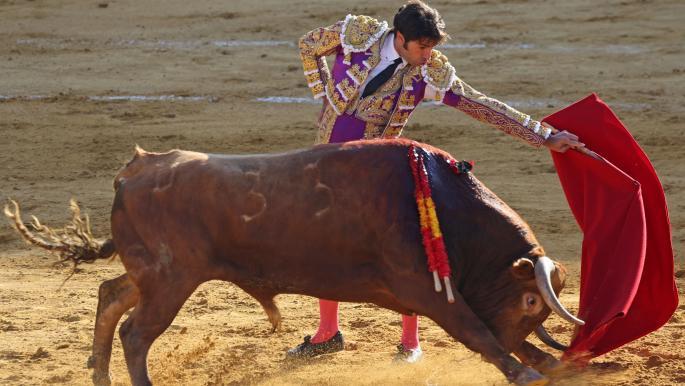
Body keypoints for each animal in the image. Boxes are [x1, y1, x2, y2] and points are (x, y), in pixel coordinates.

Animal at [5, 139, 584, 386]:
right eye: (529, 299)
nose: (524, 346)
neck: (442, 202)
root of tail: (133, 170)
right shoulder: (425, 288)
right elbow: (474, 329)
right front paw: (525, 371)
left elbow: (486, 331)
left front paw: (551, 362)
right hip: (171, 281)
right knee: (136, 333)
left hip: (153, 274)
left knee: (110, 297)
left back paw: (99, 375)